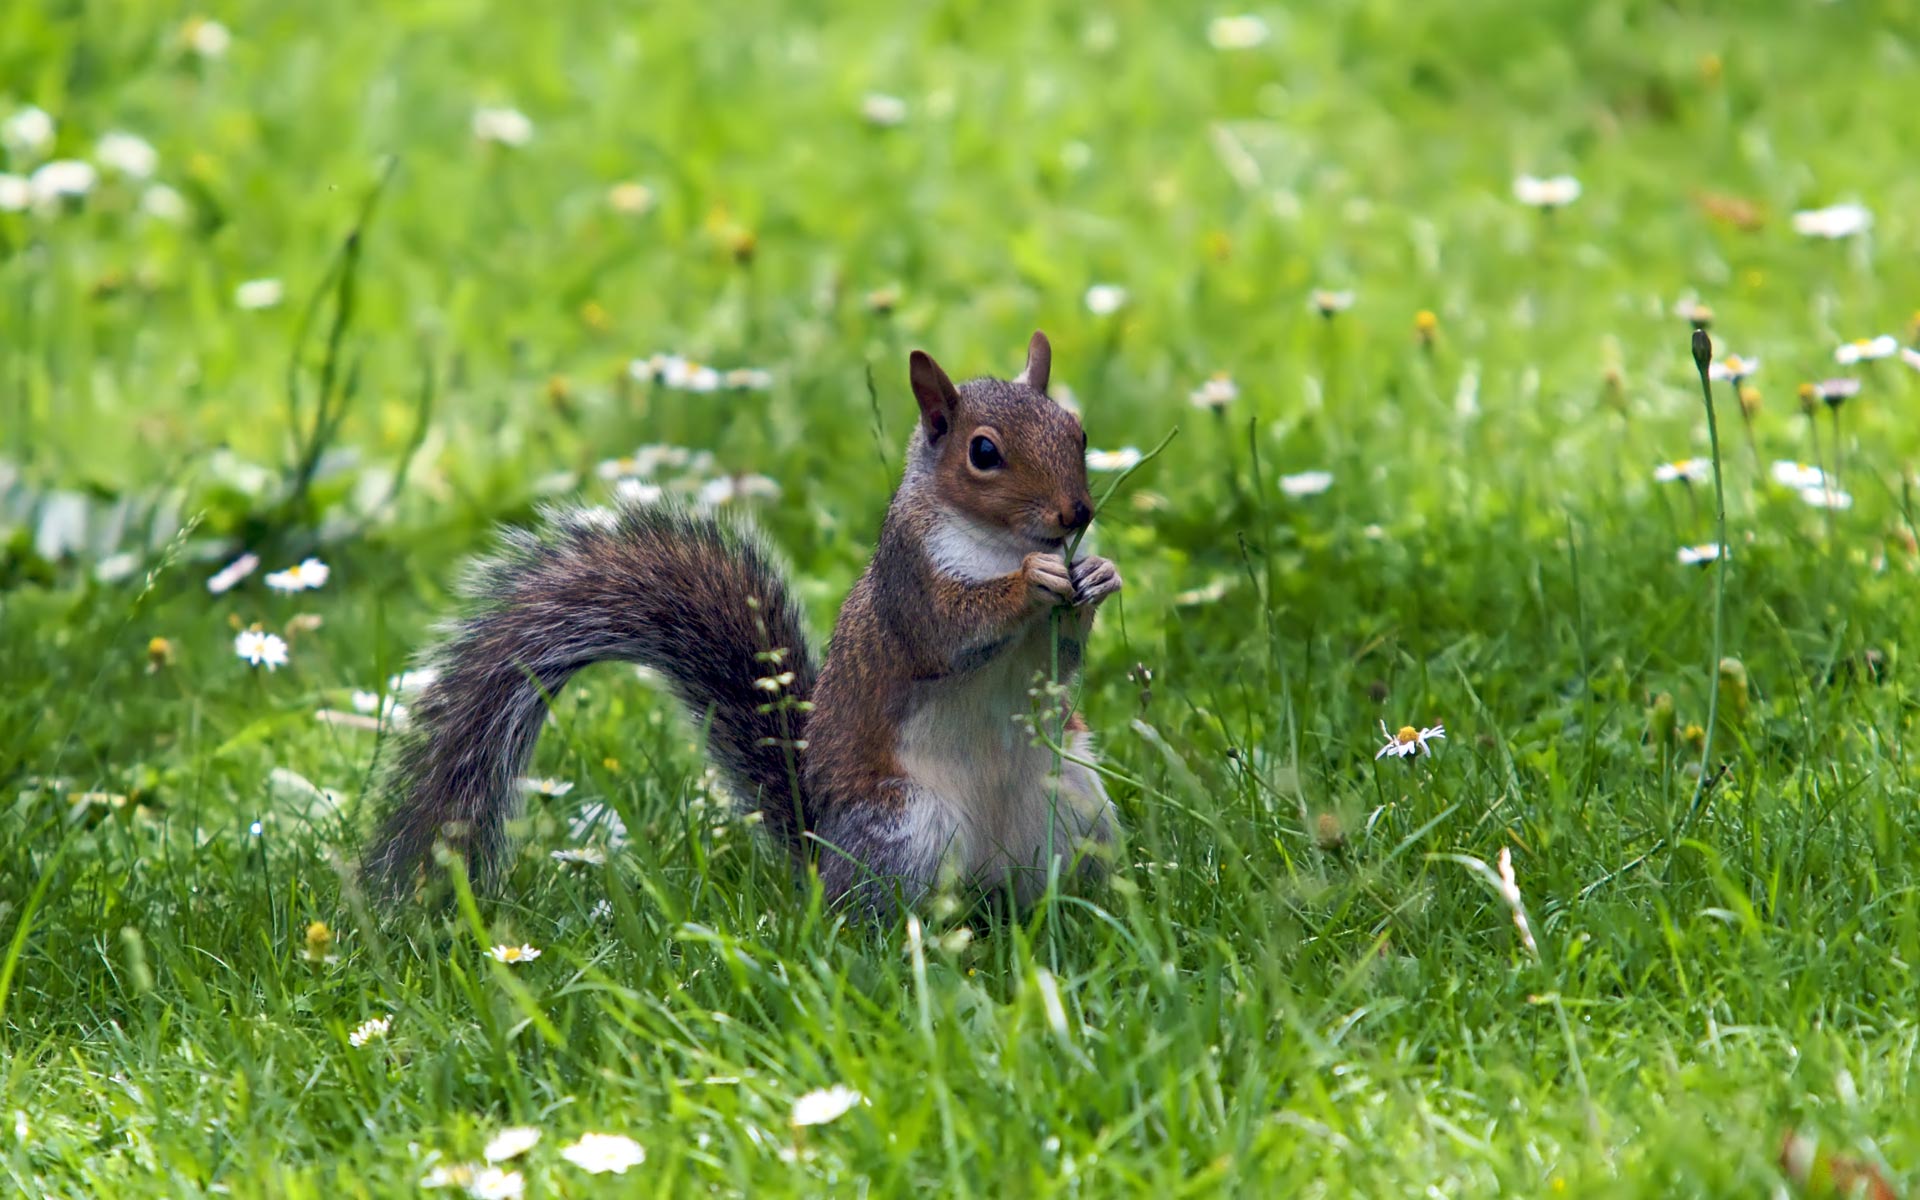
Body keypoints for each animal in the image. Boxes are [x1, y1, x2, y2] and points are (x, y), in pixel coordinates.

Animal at [364, 331, 1123, 910]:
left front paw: (1098, 575)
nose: (1076, 514)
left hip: (1075, 805)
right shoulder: (909, 583)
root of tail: (820, 853)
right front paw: (1032, 583)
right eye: (983, 453)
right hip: (905, 830)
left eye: (1080, 431)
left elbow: (1060, 660)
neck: (999, 543)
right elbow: (950, 629)